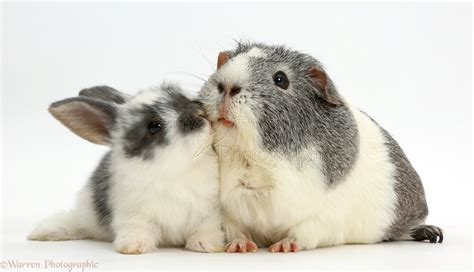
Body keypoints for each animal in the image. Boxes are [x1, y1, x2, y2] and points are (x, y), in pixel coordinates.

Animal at [28, 84, 225, 254]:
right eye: (154, 126)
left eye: (180, 96)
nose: (199, 112)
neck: (176, 170)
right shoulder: (134, 214)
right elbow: (137, 228)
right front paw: (133, 246)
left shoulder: (209, 212)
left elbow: (205, 227)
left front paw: (206, 244)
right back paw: (43, 232)